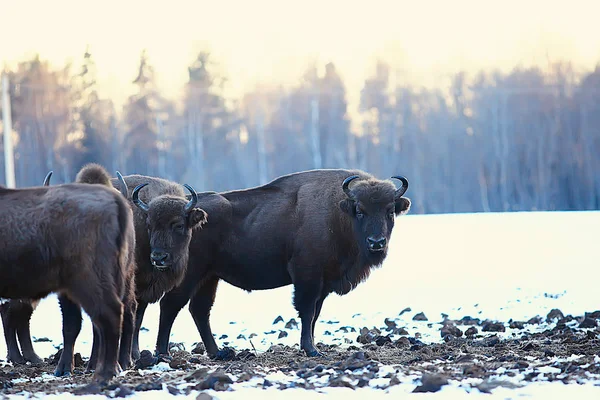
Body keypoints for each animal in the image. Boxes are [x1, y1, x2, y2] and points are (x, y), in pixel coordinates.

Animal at [132, 168, 410, 356]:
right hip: (191, 275)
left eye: (390, 211)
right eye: (360, 210)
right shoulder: (307, 277)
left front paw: (311, 345)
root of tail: (190, 212)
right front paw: (311, 349)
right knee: (171, 306)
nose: (376, 242)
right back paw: (163, 352)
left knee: (199, 310)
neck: (339, 212)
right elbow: (307, 311)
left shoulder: (323, 282)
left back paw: (218, 353)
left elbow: (315, 314)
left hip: (209, 277)